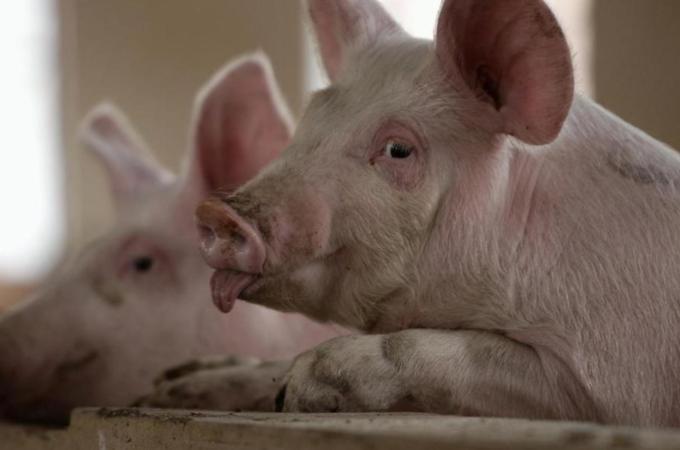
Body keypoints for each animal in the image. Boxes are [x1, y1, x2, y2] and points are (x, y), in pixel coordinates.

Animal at [194, 0, 680, 427]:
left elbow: (433, 349)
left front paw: (298, 386)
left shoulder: (611, 384)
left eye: (398, 149)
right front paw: (187, 380)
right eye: (310, 119)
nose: (218, 211)